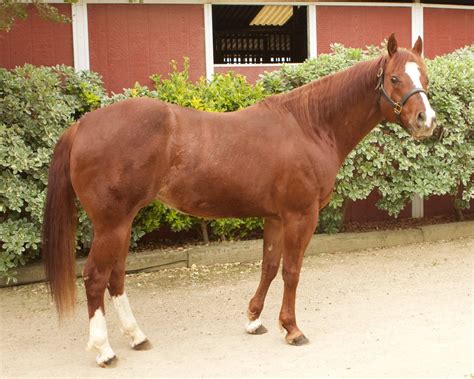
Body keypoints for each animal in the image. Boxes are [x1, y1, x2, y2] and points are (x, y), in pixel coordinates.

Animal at [42, 34, 436, 366]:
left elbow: (270, 266)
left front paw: (254, 320)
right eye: (395, 79)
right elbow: (292, 271)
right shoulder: (300, 216)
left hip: (123, 223)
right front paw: (292, 329)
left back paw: (137, 336)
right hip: (111, 223)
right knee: (95, 277)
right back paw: (104, 350)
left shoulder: (275, 217)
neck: (309, 126)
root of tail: (81, 126)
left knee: (116, 277)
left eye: (425, 77)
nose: (426, 120)